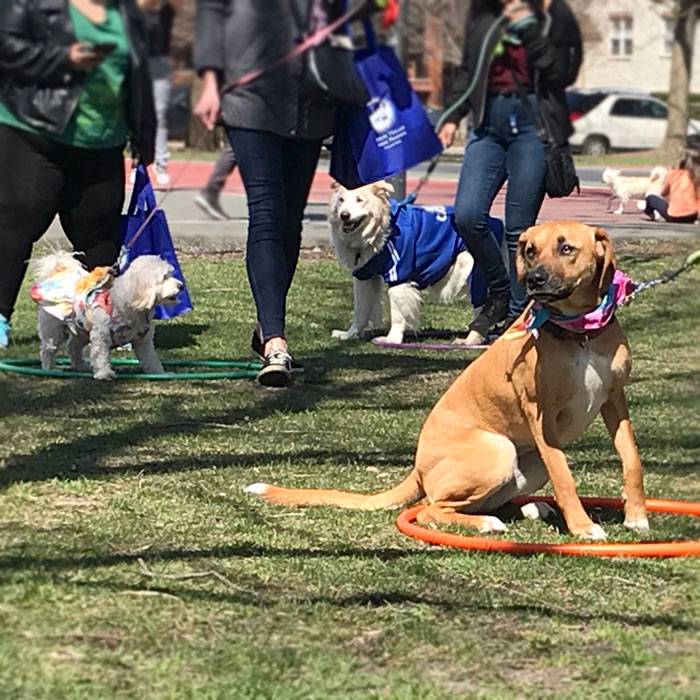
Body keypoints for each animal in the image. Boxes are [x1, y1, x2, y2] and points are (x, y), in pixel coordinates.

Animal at [31, 252, 182, 380]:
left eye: (171, 274)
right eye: (164, 277)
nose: (181, 286)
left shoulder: (144, 341)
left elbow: (151, 358)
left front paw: (159, 373)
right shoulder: (101, 335)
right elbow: (100, 355)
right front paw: (104, 373)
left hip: (82, 331)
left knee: (73, 347)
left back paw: (81, 367)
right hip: (54, 329)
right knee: (48, 349)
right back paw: (50, 368)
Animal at [247, 221, 652, 540]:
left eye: (566, 248)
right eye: (530, 250)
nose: (534, 280)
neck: (579, 333)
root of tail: (418, 468)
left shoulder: (615, 400)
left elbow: (631, 458)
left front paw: (636, 516)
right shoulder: (542, 416)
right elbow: (565, 476)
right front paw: (583, 527)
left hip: (527, 464)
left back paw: (530, 508)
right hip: (498, 451)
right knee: (432, 508)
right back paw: (488, 523)